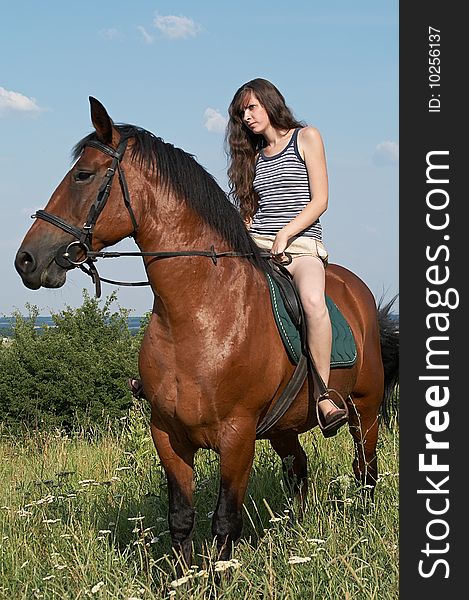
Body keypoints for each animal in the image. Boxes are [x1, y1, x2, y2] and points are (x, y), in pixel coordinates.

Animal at [14, 97, 396, 572]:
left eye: (82, 175)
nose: (26, 260)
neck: (199, 314)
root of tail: (359, 292)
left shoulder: (237, 438)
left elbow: (224, 522)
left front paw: (217, 578)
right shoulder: (168, 435)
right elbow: (180, 518)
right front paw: (180, 578)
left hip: (365, 410)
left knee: (365, 471)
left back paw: (360, 526)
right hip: (284, 427)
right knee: (298, 471)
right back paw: (297, 536)